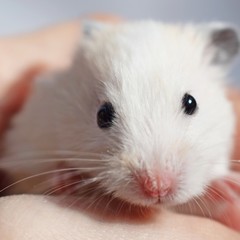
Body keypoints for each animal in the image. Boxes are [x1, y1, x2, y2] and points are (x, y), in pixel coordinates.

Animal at [0, 20, 239, 206]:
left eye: (191, 103)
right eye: (103, 115)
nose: (157, 188)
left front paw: (228, 187)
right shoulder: (26, 145)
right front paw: (67, 177)